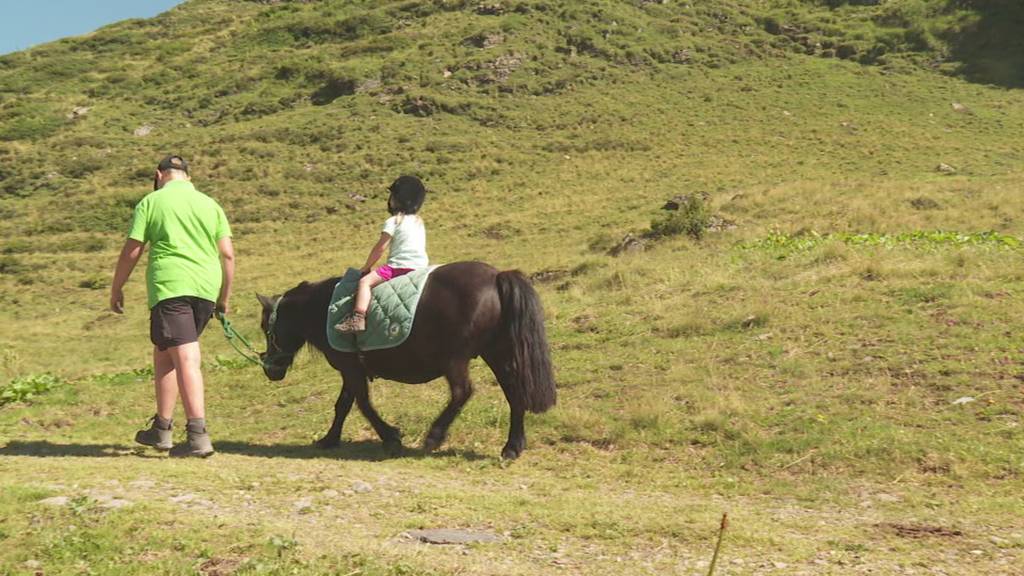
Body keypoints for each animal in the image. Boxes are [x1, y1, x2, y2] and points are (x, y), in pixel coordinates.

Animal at [260, 261, 557, 457]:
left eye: (266, 328)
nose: (270, 370)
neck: (324, 308)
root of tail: (496, 276)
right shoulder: (352, 368)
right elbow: (344, 405)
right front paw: (329, 439)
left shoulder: (350, 367)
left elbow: (361, 404)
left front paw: (391, 436)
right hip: (496, 353)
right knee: (514, 393)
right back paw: (512, 447)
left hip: (456, 358)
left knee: (462, 392)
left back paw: (434, 437)